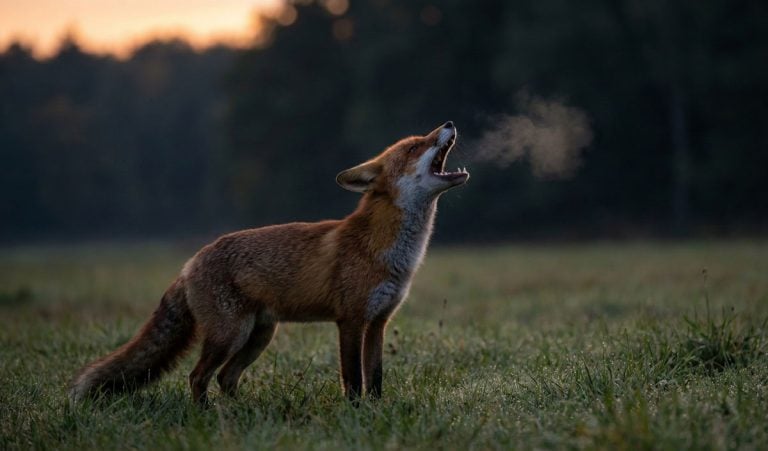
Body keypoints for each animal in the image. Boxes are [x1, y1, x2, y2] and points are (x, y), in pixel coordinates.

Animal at [70, 121, 469, 404]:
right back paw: (207, 415)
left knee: (225, 377)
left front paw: (375, 411)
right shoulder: (351, 320)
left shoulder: (379, 322)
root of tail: (190, 262)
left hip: (259, 335)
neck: (390, 251)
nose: (449, 122)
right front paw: (355, 414)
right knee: (198, 376)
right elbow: (353, 379)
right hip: (230, 334)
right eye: (415, 146)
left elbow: (376, 379)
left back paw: (241, 412)